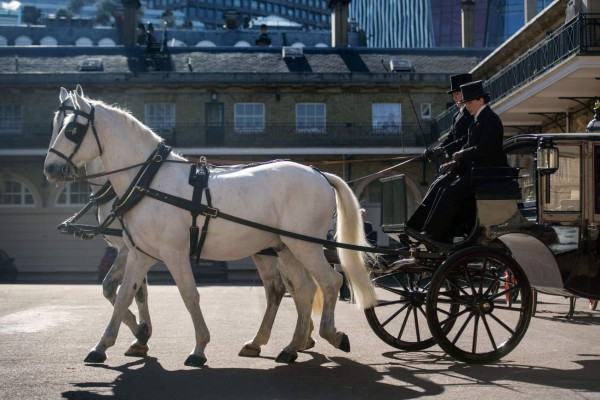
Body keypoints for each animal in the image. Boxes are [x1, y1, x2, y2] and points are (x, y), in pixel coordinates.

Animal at [44, 89, 376, 368]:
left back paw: (330, 334)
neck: (149, 181)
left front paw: (198, 347)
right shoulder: (140, 253)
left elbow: (189, 295)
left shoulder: (172, 253)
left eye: (72, 130)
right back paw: (291, 345)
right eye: (55, 125)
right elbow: (125, 294)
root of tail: (318, 173)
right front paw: (108, 344)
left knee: (330, 282)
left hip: (305, 245)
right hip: (285, 247)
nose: (50, 169)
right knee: (302, 291)